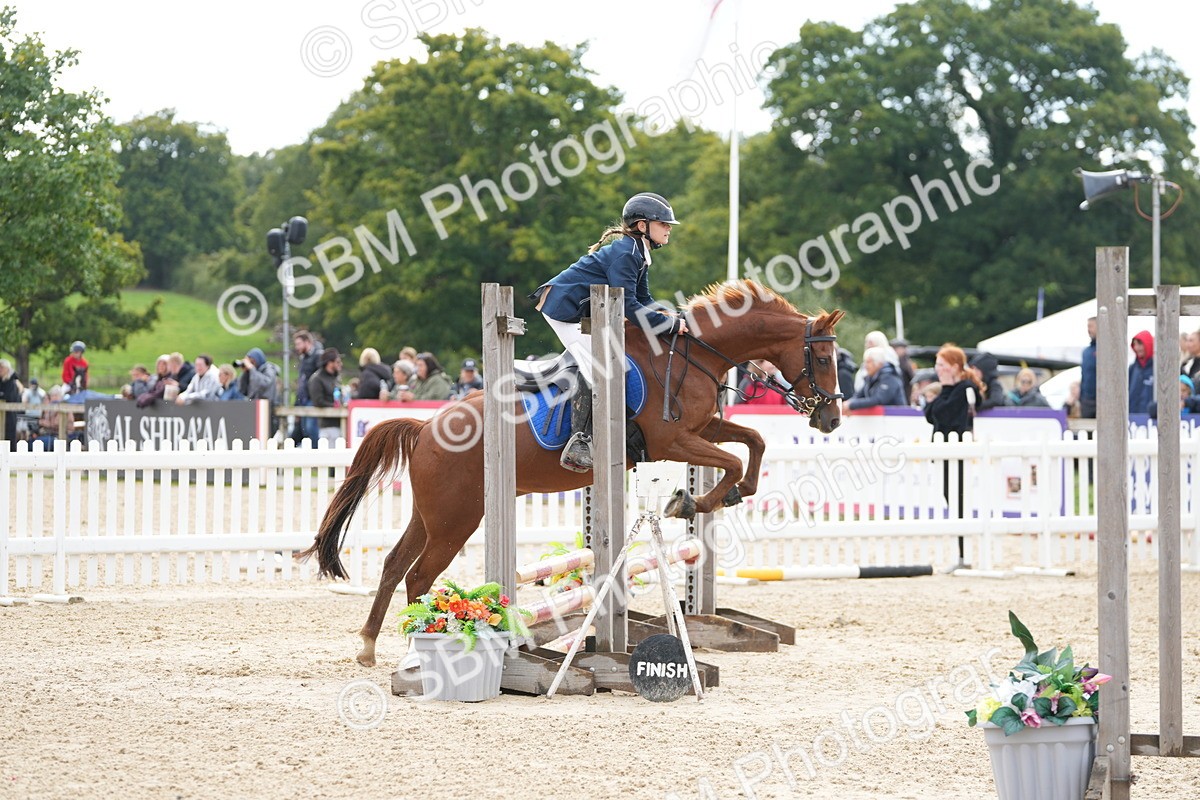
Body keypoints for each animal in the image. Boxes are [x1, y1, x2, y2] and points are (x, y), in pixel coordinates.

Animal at [297, 280, 844, 666]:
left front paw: (719, 496)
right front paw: (693, 501)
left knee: (394, 566)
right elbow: (732, 459)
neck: (692, 355)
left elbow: (753, 442)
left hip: (432, 513)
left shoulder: (702, 427)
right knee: (419, 576)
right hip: (457, 519)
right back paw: (419, 645)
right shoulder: (671, 441)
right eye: (822, 356)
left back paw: (368, 646)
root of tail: (426, 425)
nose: (832, 419)